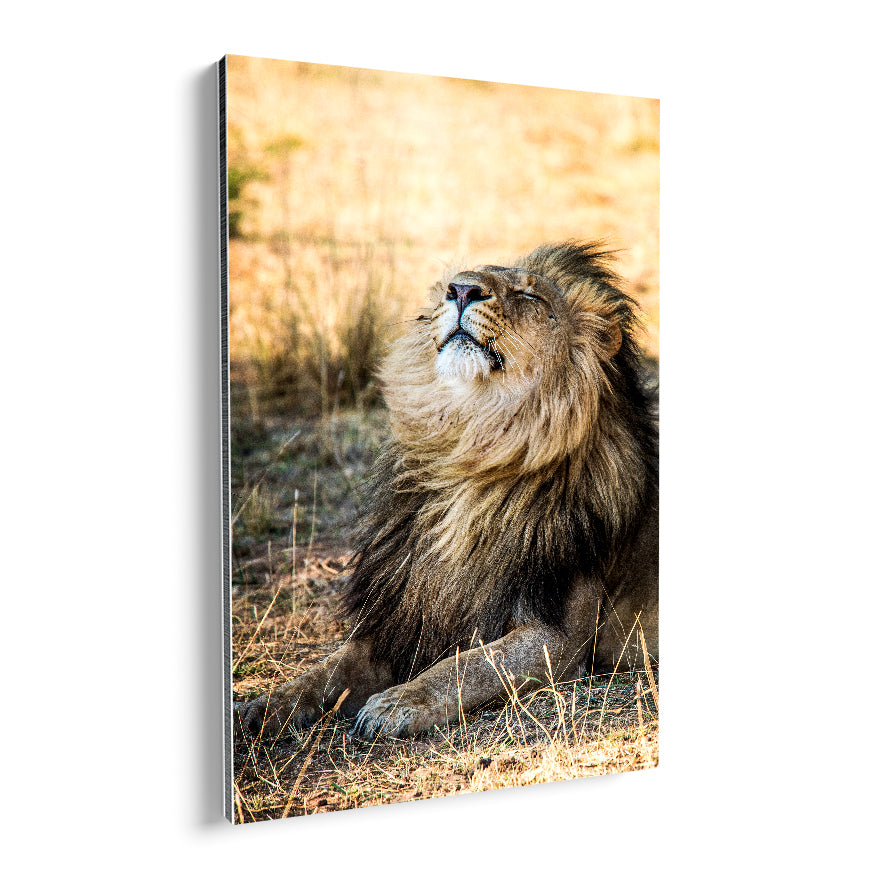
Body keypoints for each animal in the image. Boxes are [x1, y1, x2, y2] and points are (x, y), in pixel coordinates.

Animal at [237, 241, 658, 741]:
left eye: (530, 296)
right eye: (450, 286)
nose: (462, 290)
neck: (472, 450)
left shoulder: (560, 639)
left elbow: (466, 665)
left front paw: (398, 702)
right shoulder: (403, 615)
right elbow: (325, 671)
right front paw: (260, 707)